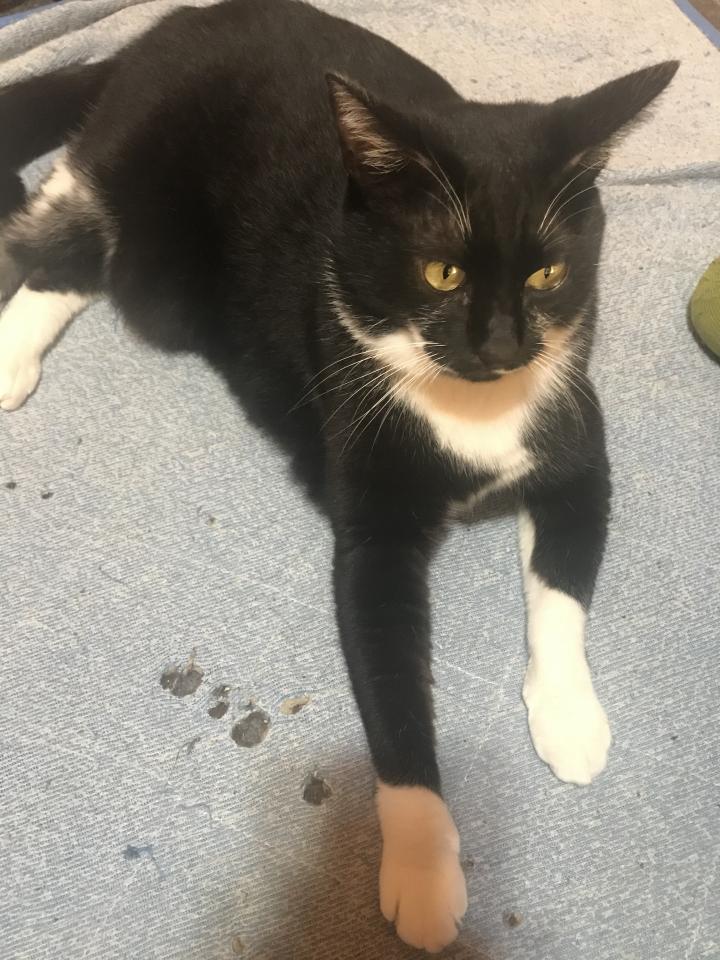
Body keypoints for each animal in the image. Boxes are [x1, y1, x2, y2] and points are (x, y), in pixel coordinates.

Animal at [0, 0, 677, 951]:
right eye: (442, 270)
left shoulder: (580, 456)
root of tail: (168, 26)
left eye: (549, 272)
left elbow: (562, 597)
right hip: (132, 179)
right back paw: (8, 358)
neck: (472, 410)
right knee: (63, 239)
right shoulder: (373, 532)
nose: (504, 345)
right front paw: (425, 877)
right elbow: (392, 690)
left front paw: (570, 718)